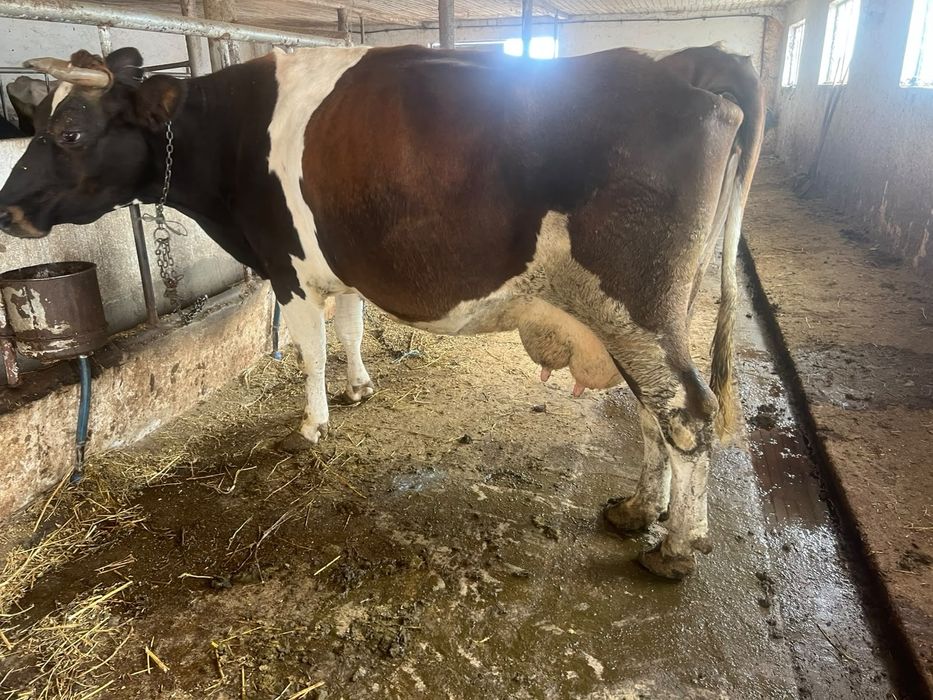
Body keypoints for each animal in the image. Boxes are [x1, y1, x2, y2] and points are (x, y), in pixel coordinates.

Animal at [0, 44, 763, 579]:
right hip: (644, 313)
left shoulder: (288, 268)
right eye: (34, 123)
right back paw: (638, 511)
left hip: (635, 303)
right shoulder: (340, 266)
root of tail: (683, 67)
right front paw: (360, 386)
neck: (234, 135)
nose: (7, 207)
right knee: (653, 413)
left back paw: (674, 549)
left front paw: (310, 425)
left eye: (69, 132)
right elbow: (351, 327)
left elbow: (310, 351)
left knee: (686, 413)